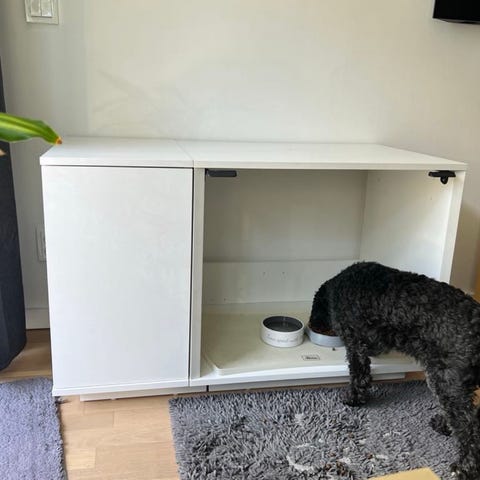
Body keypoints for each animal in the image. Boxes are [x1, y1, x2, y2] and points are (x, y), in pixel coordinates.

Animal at [309, 262, 480, 479]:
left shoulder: (355, 342)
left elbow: (359, 375)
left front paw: (353, 399)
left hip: (446, 381)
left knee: (468, 427)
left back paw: (464, 467)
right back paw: (443, 426)